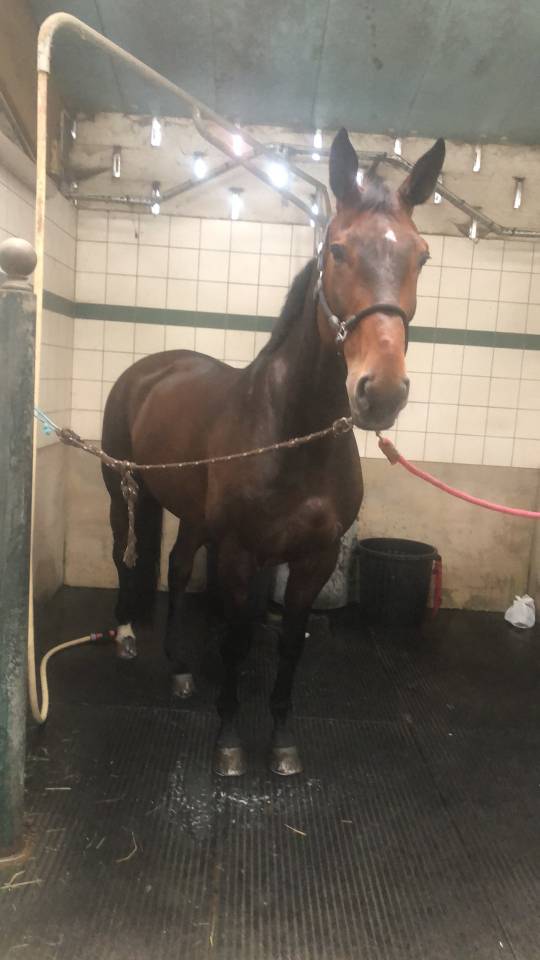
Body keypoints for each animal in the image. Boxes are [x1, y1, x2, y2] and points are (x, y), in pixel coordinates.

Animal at [101, 128, 445, 777]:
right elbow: (237, 641)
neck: (291, 433)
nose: (382, 391)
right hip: (123, 494)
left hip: (192, 515)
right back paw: (126, 636)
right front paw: (230, 740)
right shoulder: (238, 553)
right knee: (125, 558)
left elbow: (289, 645)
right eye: (337, 250)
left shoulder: (314, 558)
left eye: (422, 256)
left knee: (177, 568)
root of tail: (149, 369)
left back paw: (179, 668)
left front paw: (282, 740)